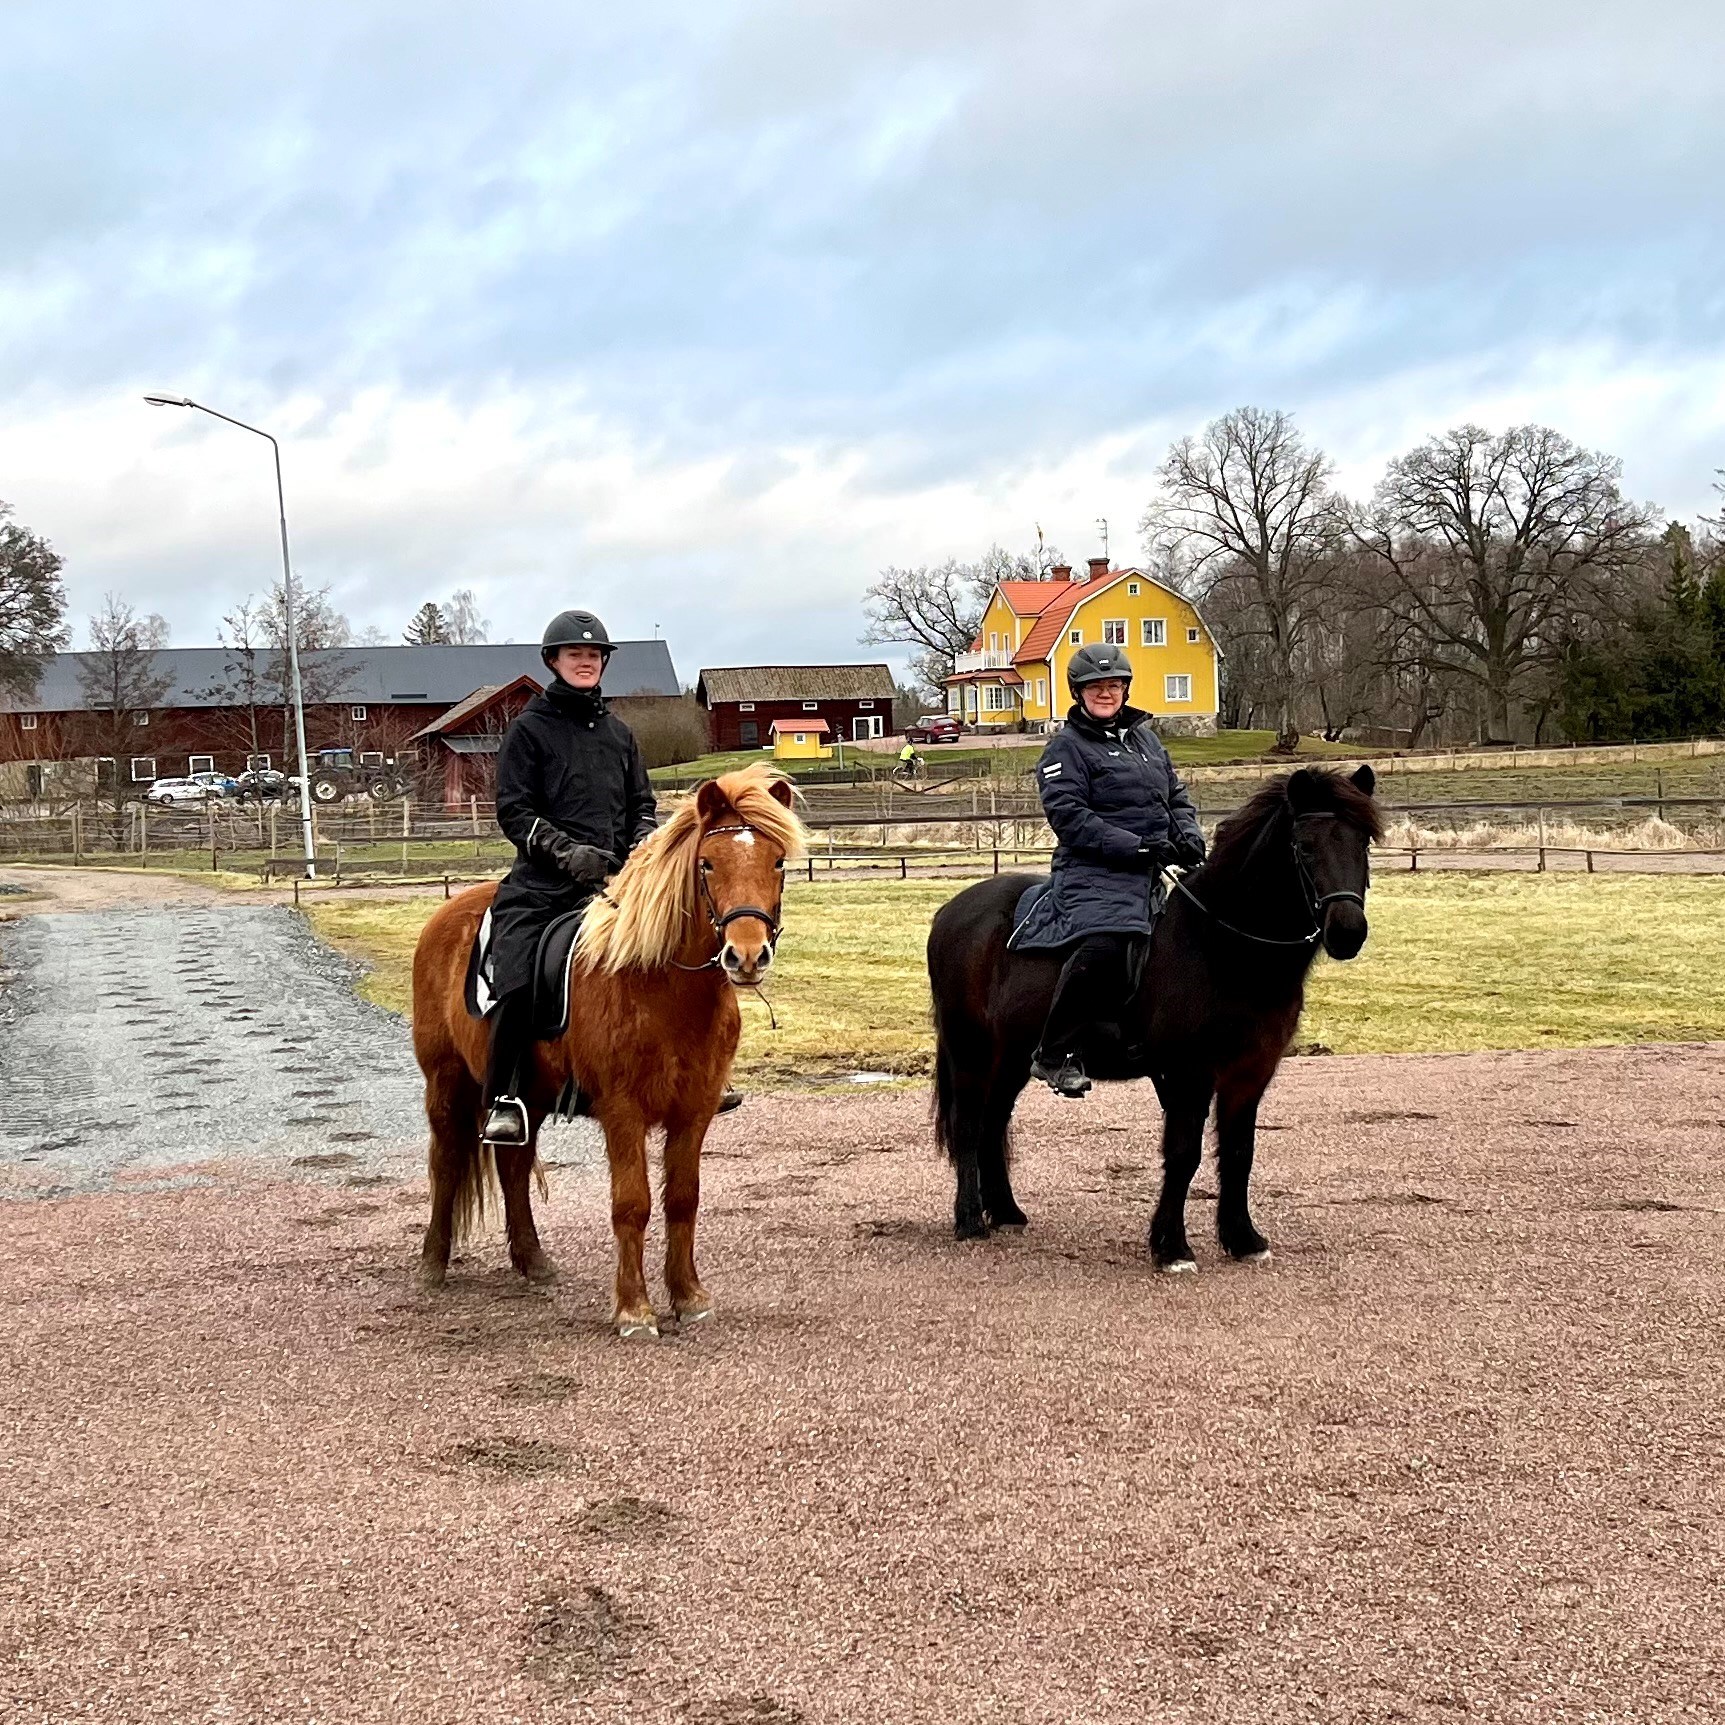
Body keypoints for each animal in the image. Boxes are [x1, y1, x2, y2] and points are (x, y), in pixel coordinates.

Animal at [410, 769, 807, 1331]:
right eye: (708, 863)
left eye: (777, 862)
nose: (747, 956)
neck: (660, 985)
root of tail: (447, 914)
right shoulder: (623, 1110)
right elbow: (632, 1203)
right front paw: (634, 1309)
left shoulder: (694, 1110)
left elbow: (682, 1199)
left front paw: (689, 1296)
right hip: (446, 1081)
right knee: (446, 1162)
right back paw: (432, 1263)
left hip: (529, 1095)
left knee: (514, 1165)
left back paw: (533, 1260)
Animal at [924, 765, 1380, 1269]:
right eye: (1304, 846)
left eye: (1363, 842)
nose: (1348, 932)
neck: (1220, 947)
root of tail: (950, 913)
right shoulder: (1187, 1074)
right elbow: (1183, 1155)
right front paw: (1172, 1247)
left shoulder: (1249, 1074)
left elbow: (1239, 1152)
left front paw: (1243, 1238)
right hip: (970, 1049)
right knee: (968, 1125)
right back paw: (969, 1220)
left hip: (1012, 1056)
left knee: (993, 1121)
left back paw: (1005, 1211)